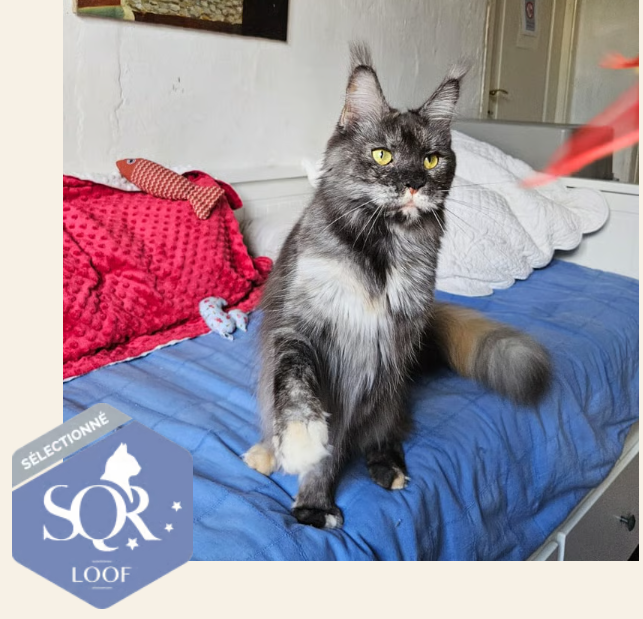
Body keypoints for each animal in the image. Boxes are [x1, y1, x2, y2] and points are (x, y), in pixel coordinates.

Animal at [243, 43, 551, 529]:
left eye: (431, 160)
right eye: (383, 155)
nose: (413, 184)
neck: (383, 249)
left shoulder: (392, 338)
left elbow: (357, 431)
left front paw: (326, 493)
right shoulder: (304, 329)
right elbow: (298, 393)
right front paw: (309, 477)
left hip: (394, 385)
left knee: (384, 429)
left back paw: (389, 466)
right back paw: (266, 453)